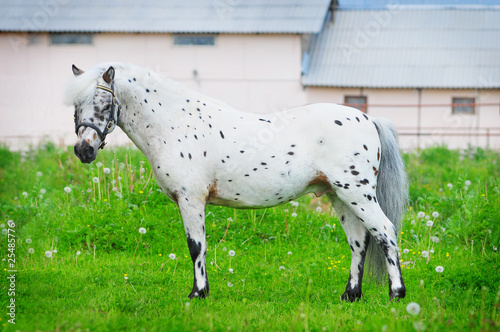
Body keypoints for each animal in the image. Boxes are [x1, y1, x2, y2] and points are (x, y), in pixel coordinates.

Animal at [66, 62, 408, 300]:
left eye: (103, 103)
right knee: (358, 242)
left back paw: (396, 294)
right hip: (340, 196)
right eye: (76, 106)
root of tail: (367, 118)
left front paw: (198, 294)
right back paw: (350, 295)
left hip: (358, 195)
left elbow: (196, 246)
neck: (174, 122)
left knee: (385, 232)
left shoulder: (191, 199)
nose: (84, 150)